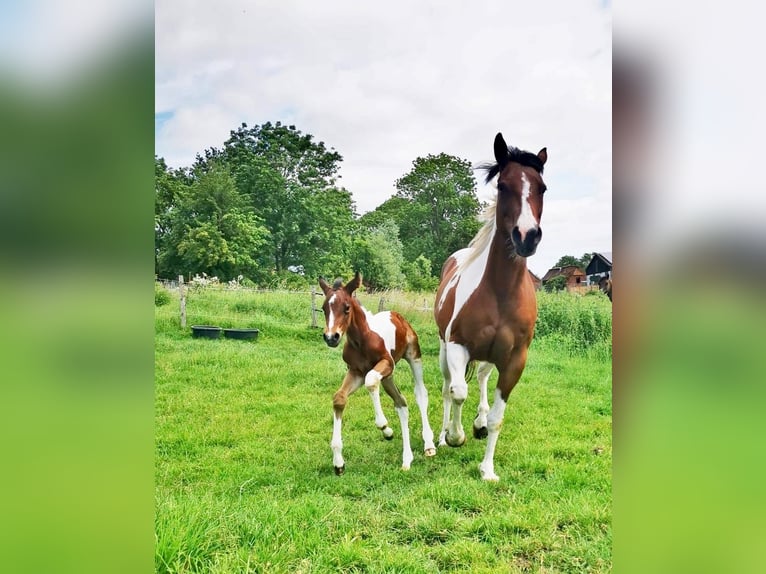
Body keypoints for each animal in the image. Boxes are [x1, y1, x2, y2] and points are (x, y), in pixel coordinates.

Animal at [318, 272, 436, 475]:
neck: (362, 340)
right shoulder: (356, 372)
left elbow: (371, 381)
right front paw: (338, 462)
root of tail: (397, 315)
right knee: (401, 402)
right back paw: (407, 459)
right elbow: (339, 398)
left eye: (347, 308)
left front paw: (385, 427)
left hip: (413, 357)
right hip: (388, 377)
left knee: (420, 393)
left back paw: (429, 445)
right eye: (324, 308)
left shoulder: (386, 364)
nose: (331, 337)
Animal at [434, 132, 548, 481]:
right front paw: (455, 436)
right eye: (503, 185)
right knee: (447, 388)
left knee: (482, 380)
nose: (527, 236)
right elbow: (458, 392)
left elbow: (498, 416)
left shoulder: (514, 360)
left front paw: (487, 469)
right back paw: (442, 437)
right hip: (443, 349)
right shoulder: (457, 346)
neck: (500, 292)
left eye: (542, 187)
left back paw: (479, 423)